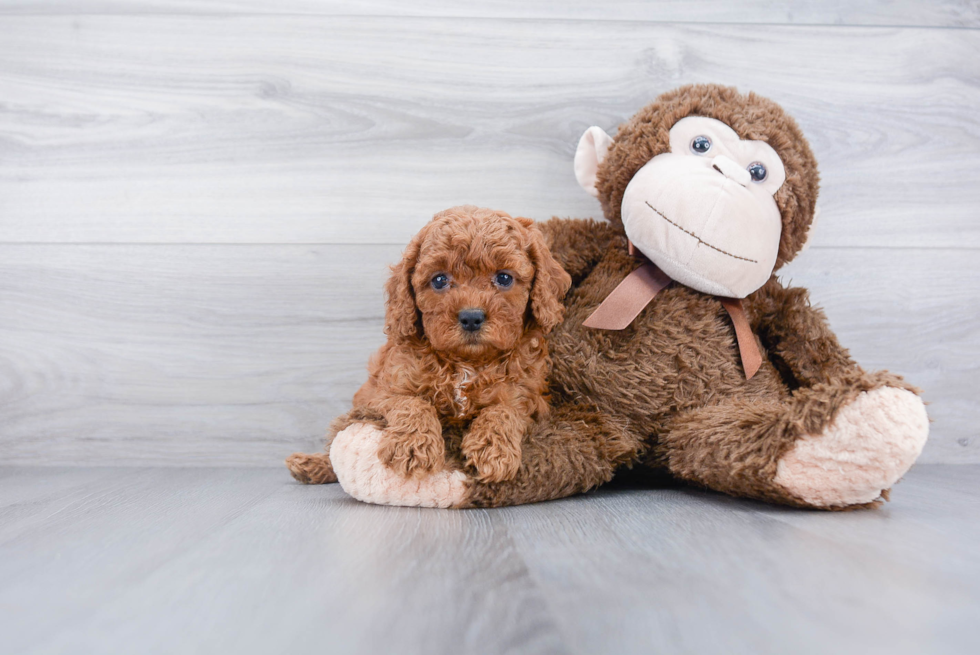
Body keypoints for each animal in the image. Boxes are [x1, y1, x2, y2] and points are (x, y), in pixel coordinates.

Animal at [288, 208, 572, 484]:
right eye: (439, 280)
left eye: (504, 278)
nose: (471, 317)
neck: (466, 362)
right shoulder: (382, 393)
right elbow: (412, 403)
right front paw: (413, 446)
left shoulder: (529, 399)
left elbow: (504, 411)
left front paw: (493, 450)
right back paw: (310, 465)